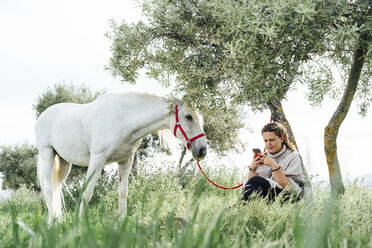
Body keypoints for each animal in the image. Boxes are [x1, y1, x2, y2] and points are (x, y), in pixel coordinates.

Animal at [35, 92, 208, 225]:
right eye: (188, 116)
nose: (202, 150)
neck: (123, 119)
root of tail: (43, 115)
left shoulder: (126, 161)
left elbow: (123, 192)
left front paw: (122, 222)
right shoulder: (97, 160)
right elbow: (87, 193)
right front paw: (79, 224)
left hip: (64, 163)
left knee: (57, 189)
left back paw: (59, 220)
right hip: (47, 153)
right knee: (49, 189)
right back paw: (51, 223)